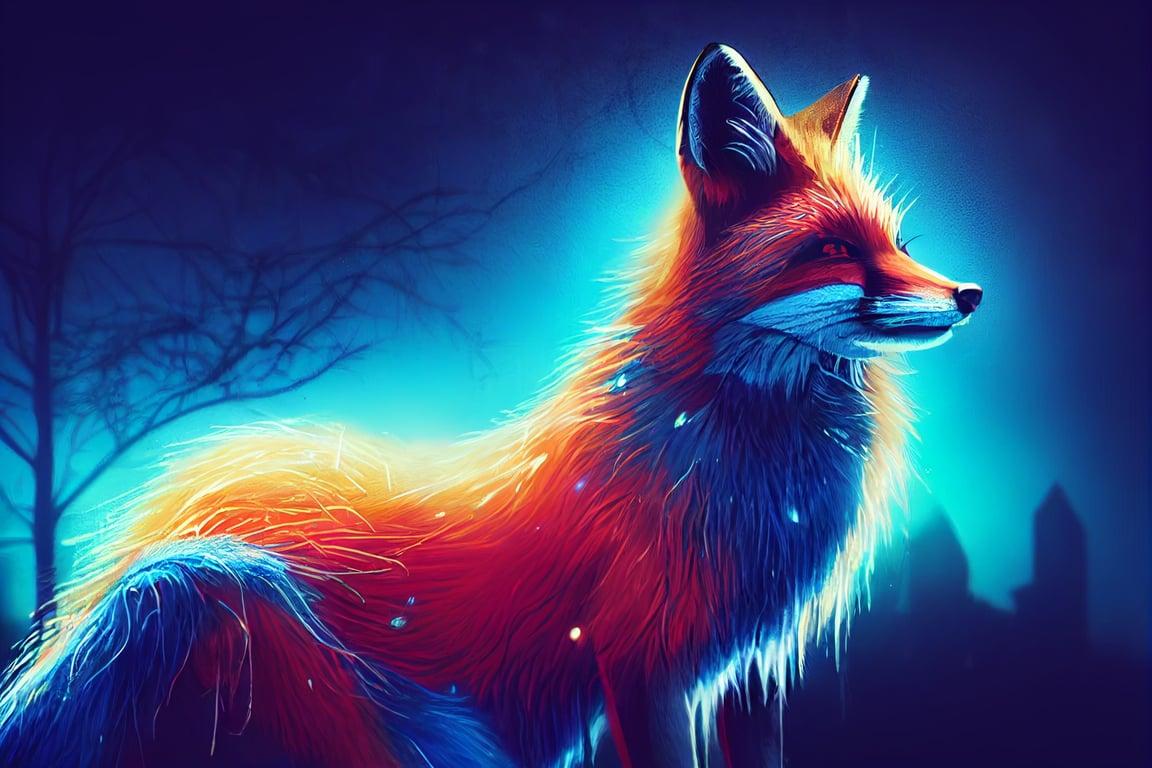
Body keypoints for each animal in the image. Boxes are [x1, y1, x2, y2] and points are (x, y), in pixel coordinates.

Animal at [0, 43, 981, 768]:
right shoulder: (640, 656)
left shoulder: (752, 668)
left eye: (897, 242)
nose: (969, 294)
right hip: (253, 630)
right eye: (834, 249)